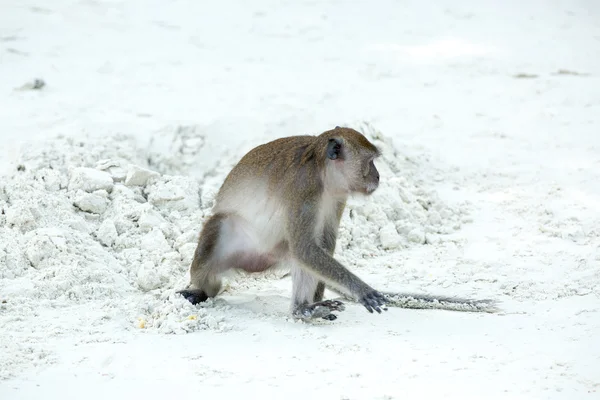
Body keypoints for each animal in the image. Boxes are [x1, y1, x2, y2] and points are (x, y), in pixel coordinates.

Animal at [178, 126, 496, 320]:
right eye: (370, 161)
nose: (378, 176)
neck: (321, 172)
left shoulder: (336, 196)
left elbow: (320, 246)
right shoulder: (304, 187)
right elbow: (306, 247)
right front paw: (362, 290)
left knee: (300, 256)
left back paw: (304, 309)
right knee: (221, 226)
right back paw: (202, 290)